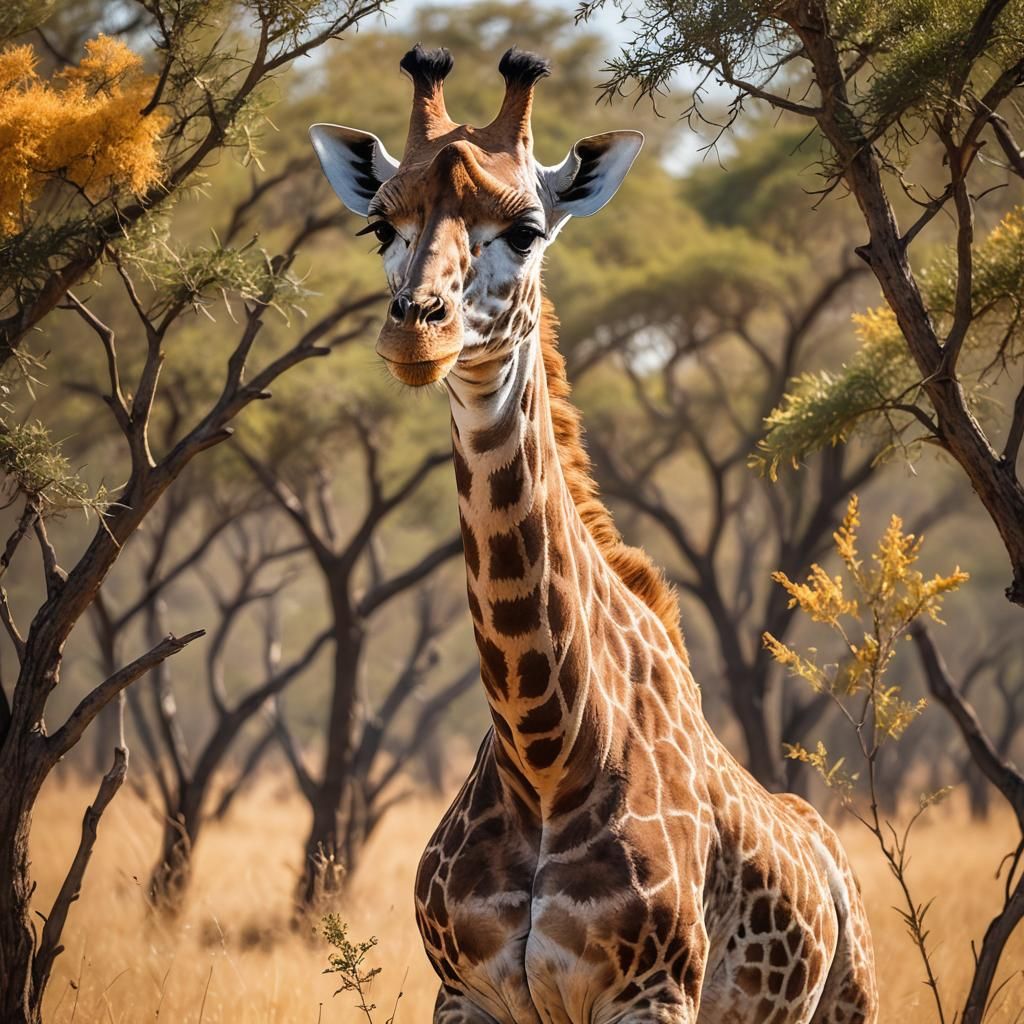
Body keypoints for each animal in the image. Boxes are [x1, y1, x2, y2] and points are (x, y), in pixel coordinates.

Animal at [310, 45, 878, 1024]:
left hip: (853, 1000)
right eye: (381, 226)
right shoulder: (465, 993)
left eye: (527, 230)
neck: (545, 755)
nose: (416, 333)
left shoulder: (654, 993)